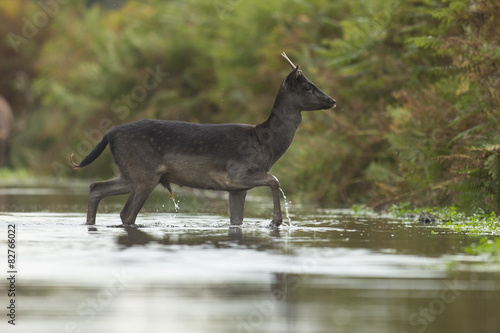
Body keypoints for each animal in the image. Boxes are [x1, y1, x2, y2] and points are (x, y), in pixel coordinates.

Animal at [70, 52, 336, 228]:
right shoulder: (236, 173)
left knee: (96, 187)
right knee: (126, 213)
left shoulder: (237, 188)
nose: (332, 100)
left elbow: (237, 220)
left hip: (130, 172)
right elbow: (275, 179)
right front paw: (276, 221)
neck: (267, 146)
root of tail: (108, 134)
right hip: (143, 172)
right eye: (307, 87)